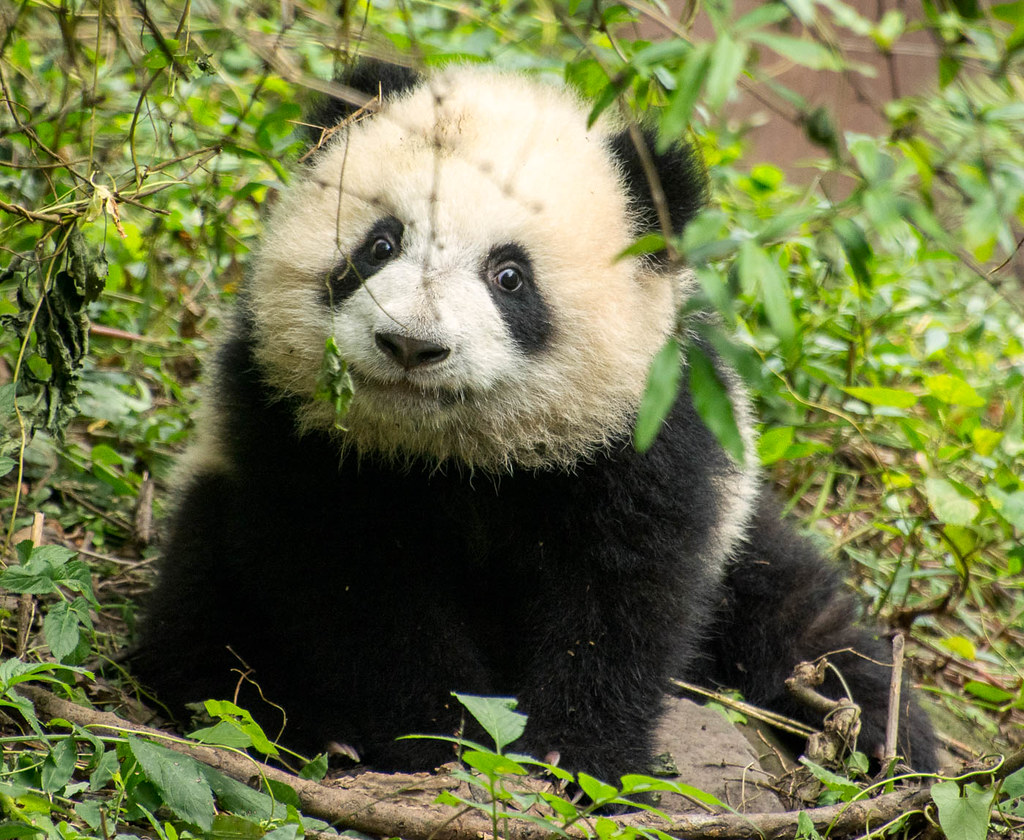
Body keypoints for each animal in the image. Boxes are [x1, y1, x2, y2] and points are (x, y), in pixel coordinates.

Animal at [133, 61, 937, 782]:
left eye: (509, 275)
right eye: (380, 244)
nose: (411, 344)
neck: (457, 455)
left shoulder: (644, 435)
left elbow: (620, 597)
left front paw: (571, 758)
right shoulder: (290, 428)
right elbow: (361, 590)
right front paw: (444, 736)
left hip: (743, 544)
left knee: (798, 618)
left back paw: (886, 739)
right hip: (216, 513)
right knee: (203, 628)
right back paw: (308, 729)